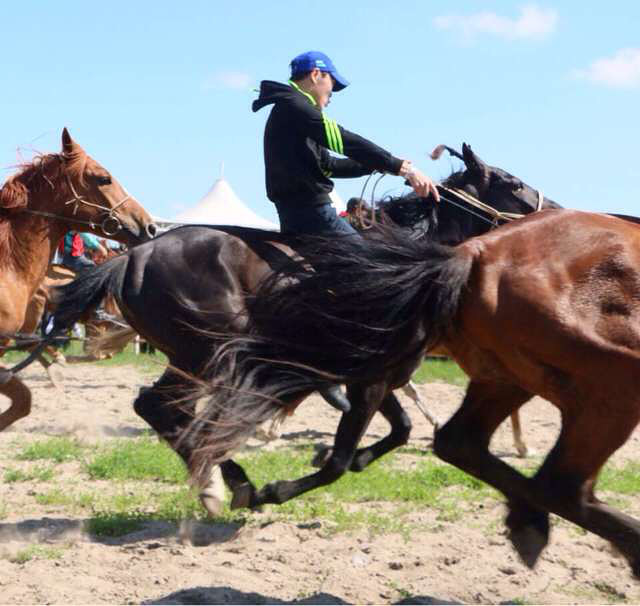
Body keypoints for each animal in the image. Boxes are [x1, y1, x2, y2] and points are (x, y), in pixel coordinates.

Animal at [188, 211, 640, 576]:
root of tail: (475, 253)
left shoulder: (380, 373)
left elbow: (388, 433)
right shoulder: (375, 376)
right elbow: (347, 453)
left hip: (508, 379)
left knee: (462, 443)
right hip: (610, 387)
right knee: (560, 483)